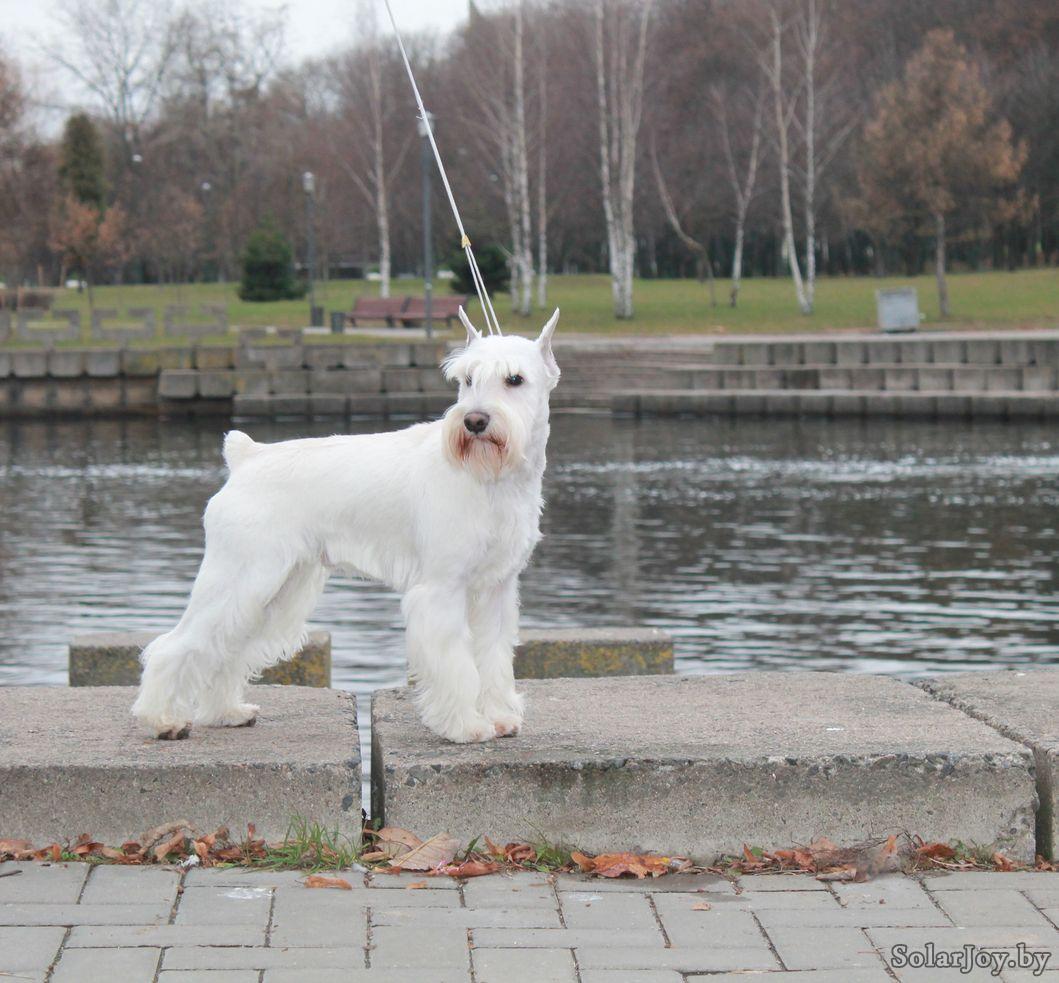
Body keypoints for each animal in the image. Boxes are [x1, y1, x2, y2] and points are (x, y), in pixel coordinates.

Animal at [131, 309, 560, 744]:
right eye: (467, 379)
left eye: (515, 379)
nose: (475, 420)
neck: (491, 479)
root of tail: (246, 457)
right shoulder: (443, 590)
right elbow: (457, 665)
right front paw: (465, 726)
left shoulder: (496, 589)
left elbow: (493, 658)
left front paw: (500, 717)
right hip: (241, 578)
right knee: (175, 645)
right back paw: (162, 720)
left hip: (271, 590)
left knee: (227, 647)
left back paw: (226, 712)